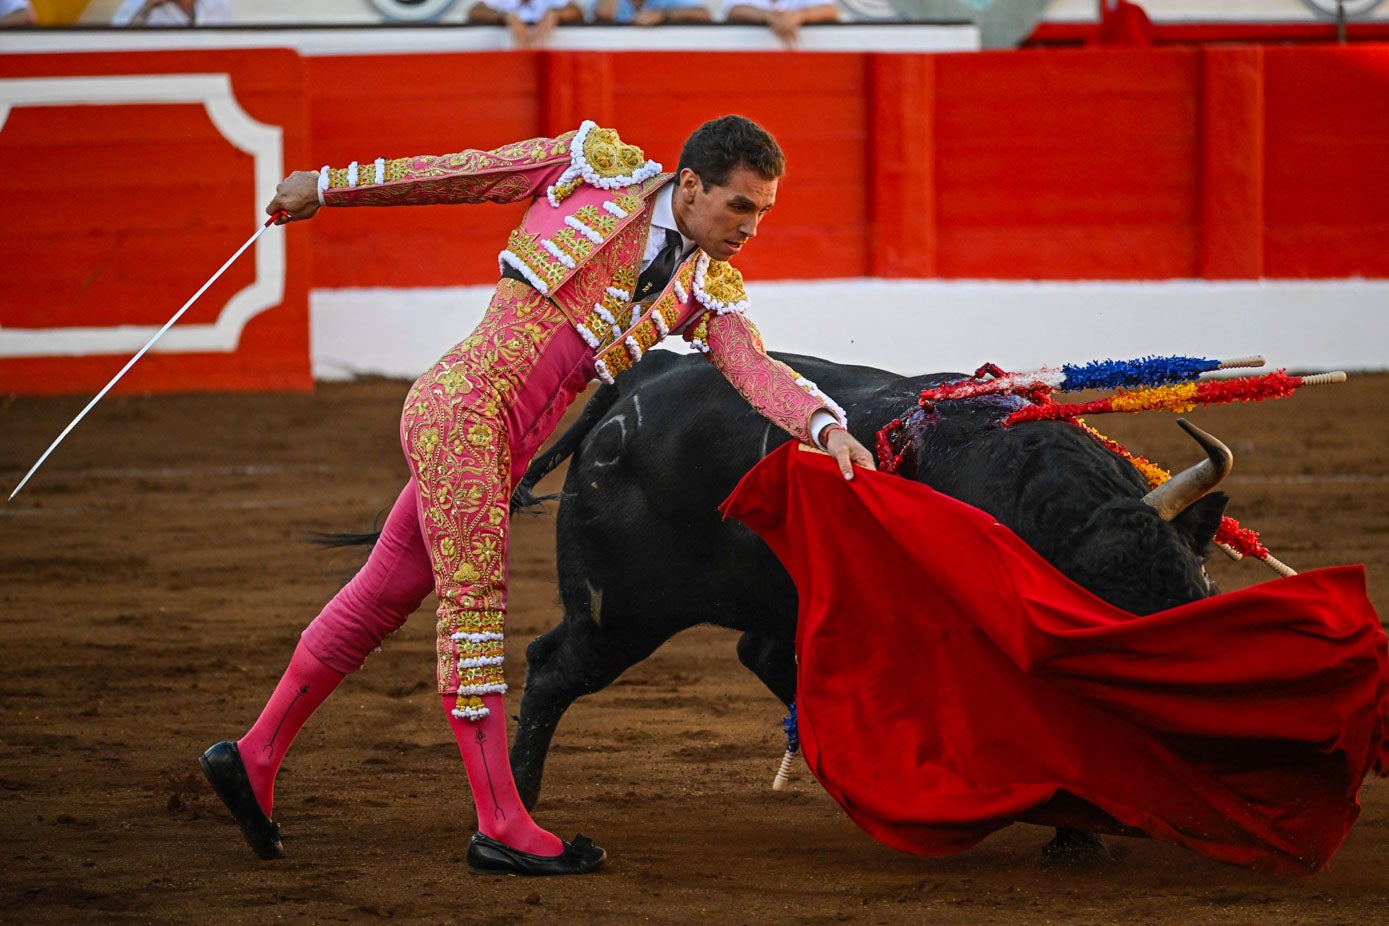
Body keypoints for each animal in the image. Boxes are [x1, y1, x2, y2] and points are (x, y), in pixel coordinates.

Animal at [508, 347, 1227, 832]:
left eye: (1188, 596)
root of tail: (641, 376)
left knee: (758, 654)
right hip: (622, 611)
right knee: (552, 669)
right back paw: (519, 799)